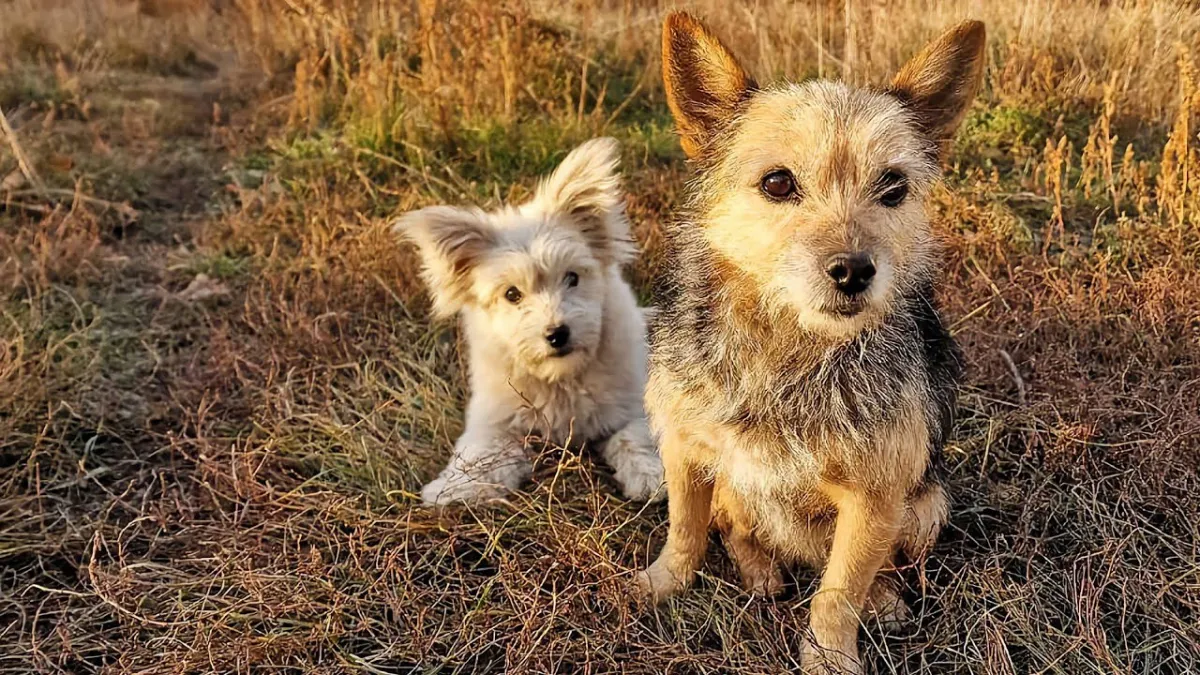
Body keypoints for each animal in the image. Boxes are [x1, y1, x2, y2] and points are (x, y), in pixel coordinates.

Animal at [400, 138, 667, 504]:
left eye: (572, 277)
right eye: (512, 294)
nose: (557, 333)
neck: (561, 378)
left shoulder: (633, 401)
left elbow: (635, 436)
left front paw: (650, 475)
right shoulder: (495, 421)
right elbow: (481, 454)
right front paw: (454, 487)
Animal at [638, 13, 984, 667]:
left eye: (893, 187)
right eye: (777, 183)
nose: (853, 271)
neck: (787, 352)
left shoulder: (876, 500)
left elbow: (838, 594)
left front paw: (829, 657)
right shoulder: (686, 450)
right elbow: (685, 531)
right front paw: (660, 584)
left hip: (928, 505)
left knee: (877, 568)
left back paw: (883, 597)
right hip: (735, 485)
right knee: (737, 527)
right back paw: (760, 571)